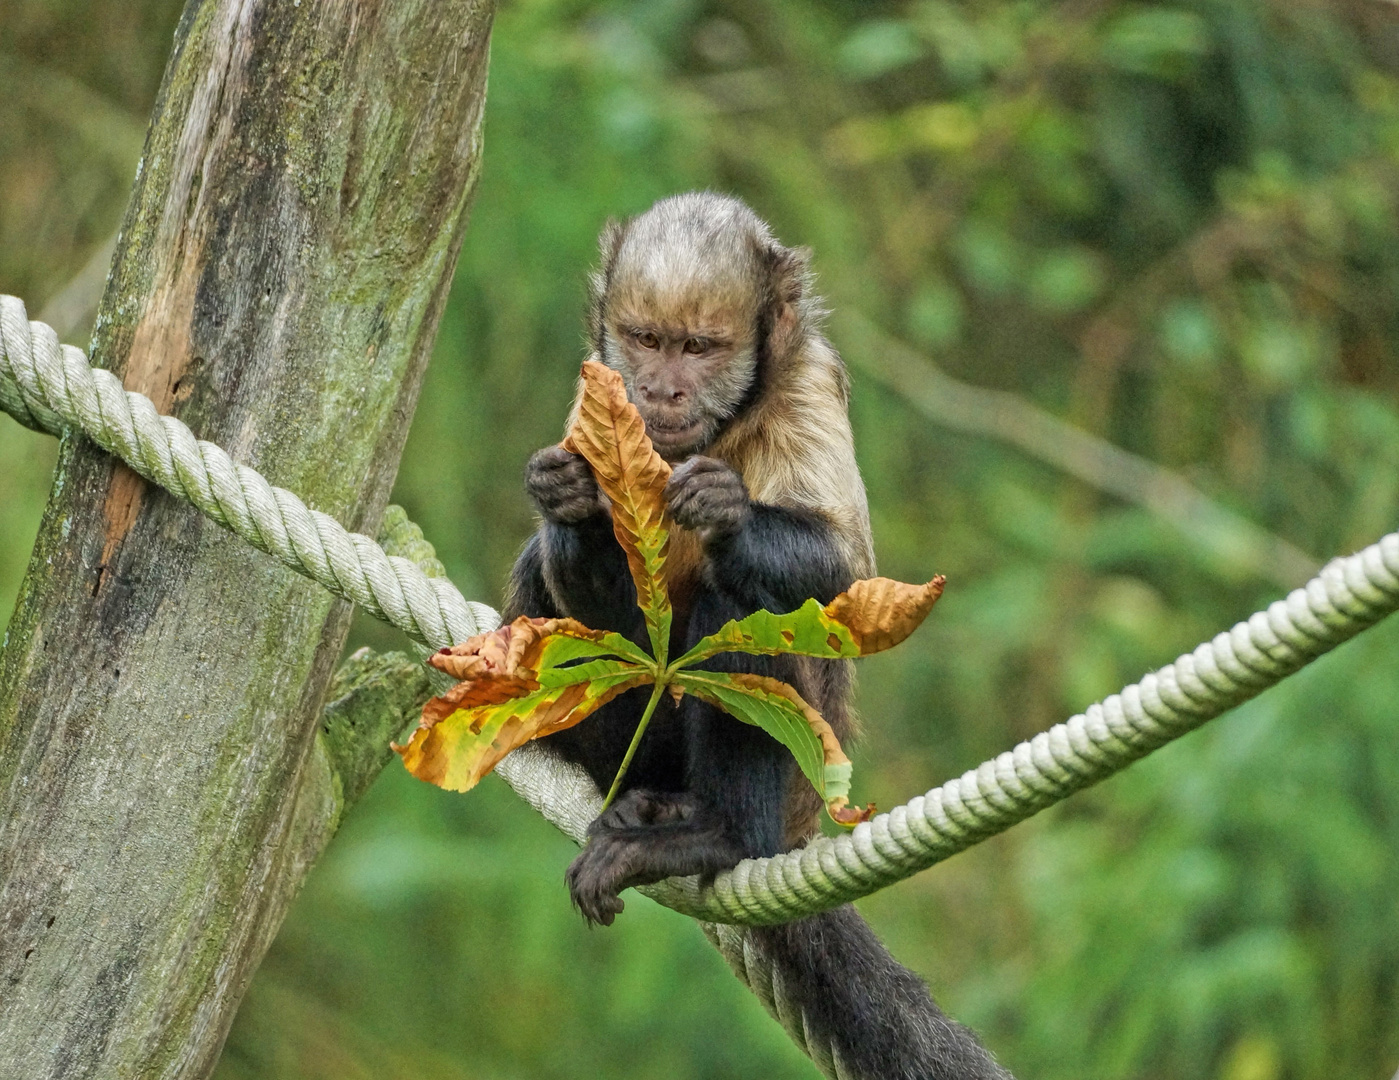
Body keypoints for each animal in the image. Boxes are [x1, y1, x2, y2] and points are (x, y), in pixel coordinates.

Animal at [509, 194, 1012, 1080]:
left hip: (805, 775)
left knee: (735, 606)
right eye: (645, 340)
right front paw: (567, 498)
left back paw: (712, 837)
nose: (661, 388)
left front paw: (726, 512)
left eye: (699, 349)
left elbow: (851, 584)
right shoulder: (594, 386)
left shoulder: (809, 382)